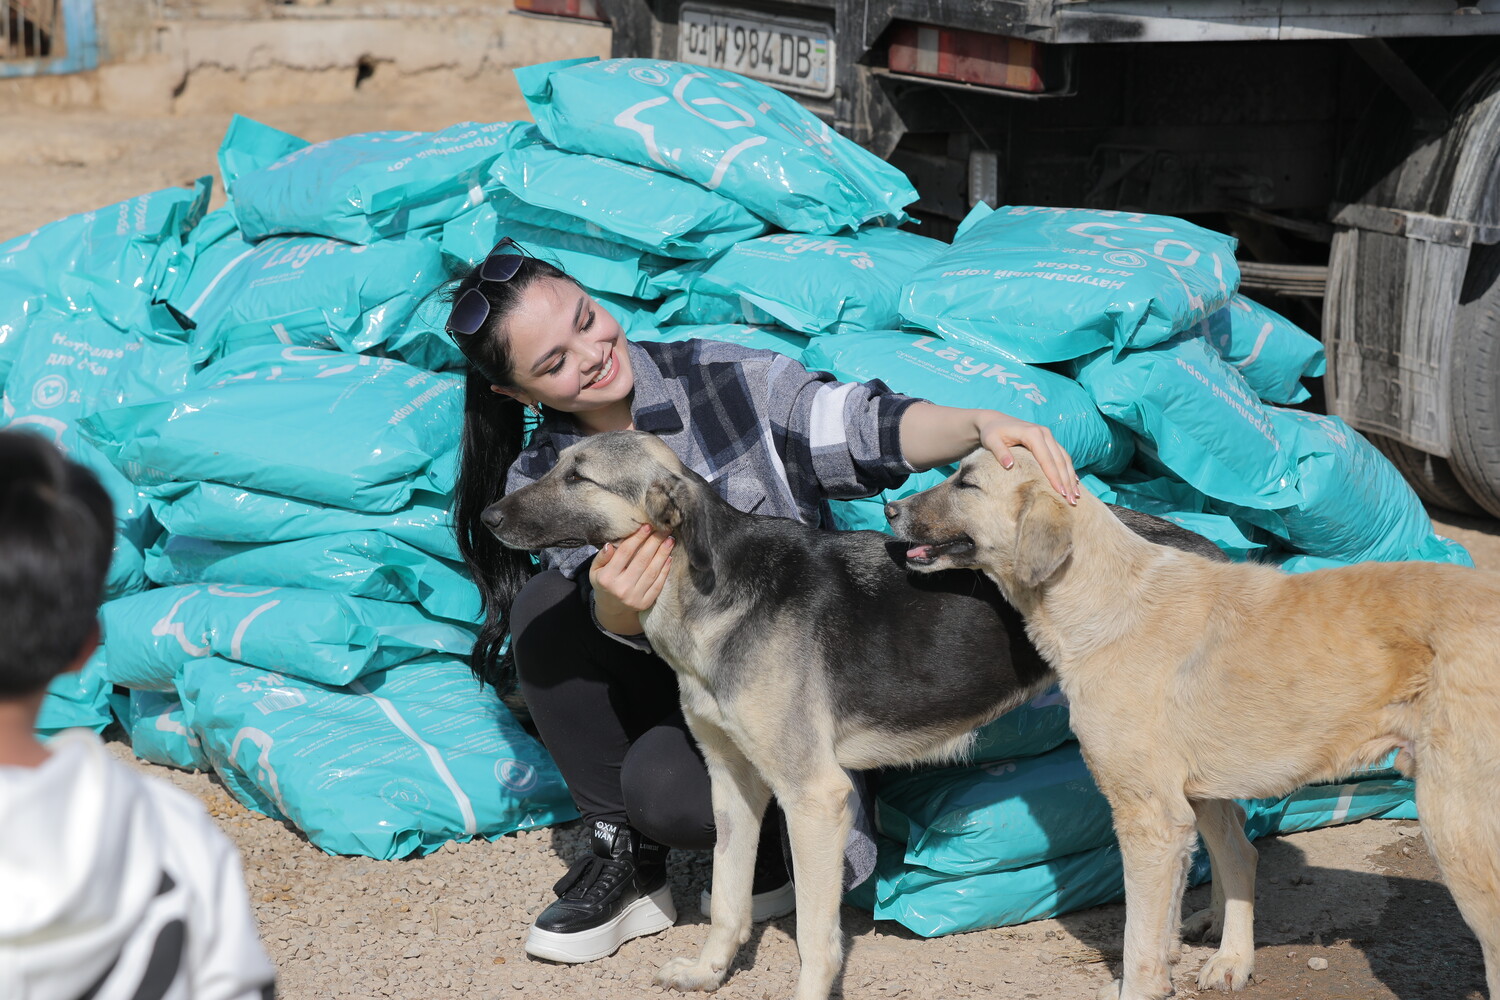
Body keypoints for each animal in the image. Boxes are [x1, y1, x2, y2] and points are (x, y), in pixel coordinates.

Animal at [486, 431, 1224, 1000]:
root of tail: (1206, 547)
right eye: (552, 462)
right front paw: (709, 972)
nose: (488, 517)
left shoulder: (815, 798)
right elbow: (728, 899)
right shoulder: (733, 783)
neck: (710, 585)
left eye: (578, 476)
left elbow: (816, 938)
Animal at [882, 449, 1500, 1000]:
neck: (1104, 598)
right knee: (1241, 852)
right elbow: (1180, 908)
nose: (889, 508)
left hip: (1455, 824)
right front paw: (1197, 957)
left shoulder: (1149, 817)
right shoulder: (1185, 802)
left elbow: (1138, 938)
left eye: (966, 482)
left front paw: (1142, 987)